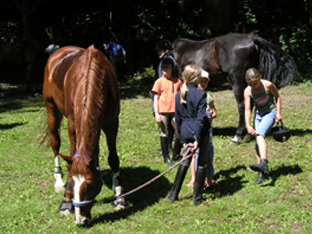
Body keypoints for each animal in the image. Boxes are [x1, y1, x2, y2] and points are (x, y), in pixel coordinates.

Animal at [42, 44, 125, 226]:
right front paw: (66, 202)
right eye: (72, 182)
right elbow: (70, 161)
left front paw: (119, 197)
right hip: (51, 110)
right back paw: (58, 179)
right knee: (55, 143)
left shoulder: (112, 123)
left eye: (91, 184)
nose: (80, 219)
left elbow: (113, 159)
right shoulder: (73, 125)